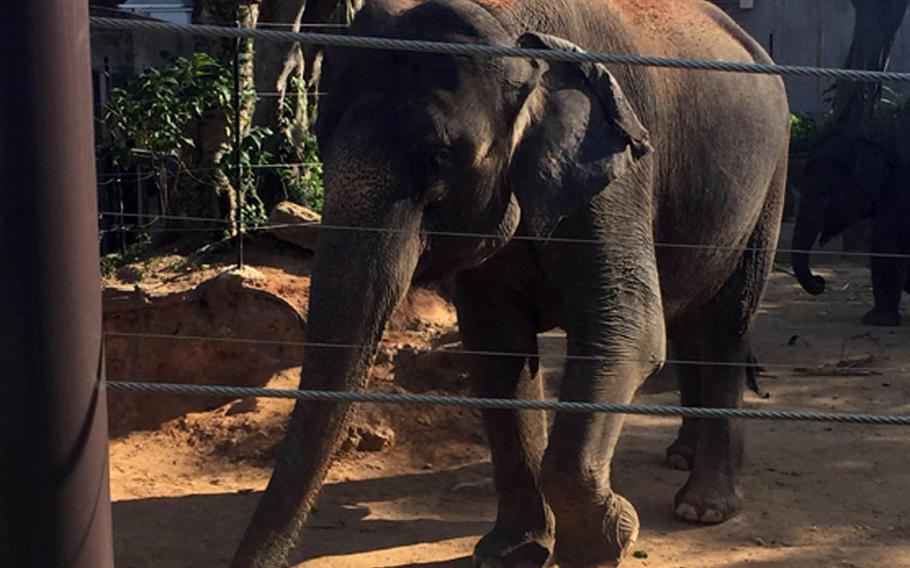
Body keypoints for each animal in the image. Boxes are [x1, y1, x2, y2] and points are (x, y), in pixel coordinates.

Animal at [228, 1, 792, 568]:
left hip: (772, 181)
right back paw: (681, 457)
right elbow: (498, 351)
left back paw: (704, 507)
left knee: (726, 323)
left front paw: (602, 545)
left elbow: (626, 331)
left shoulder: (618, 173)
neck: (512, 26)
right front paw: (512, 552)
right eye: (321, 143)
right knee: (691, 322)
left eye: (440, 158)